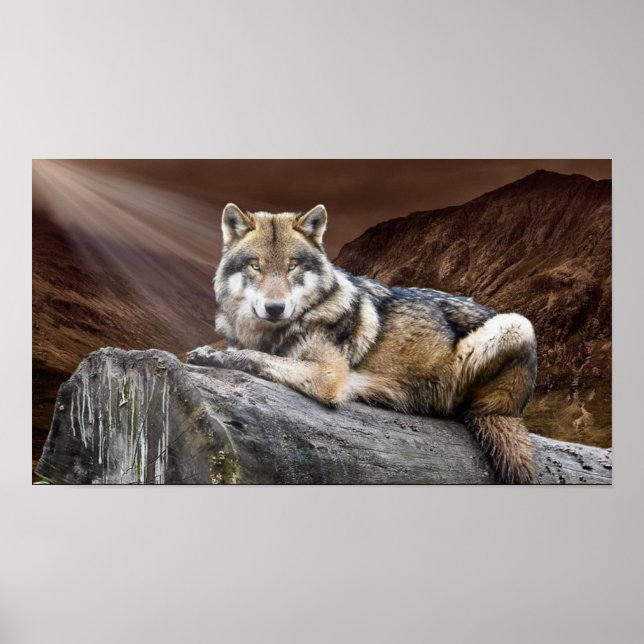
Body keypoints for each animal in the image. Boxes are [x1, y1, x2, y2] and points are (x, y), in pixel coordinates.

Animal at [187, 203, 538, 483]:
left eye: (292, 265)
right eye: (255, 265)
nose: (275, 308)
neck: (271, 333)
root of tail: (513, 410)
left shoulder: (328, 376)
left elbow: (252, 357)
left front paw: (211, 356)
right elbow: (250, 352)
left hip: (516, 325)